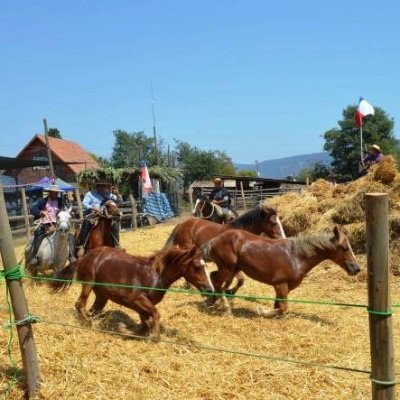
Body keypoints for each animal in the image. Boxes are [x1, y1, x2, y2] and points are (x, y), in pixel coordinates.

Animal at [50, 245, 216, 340]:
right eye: (197, 267)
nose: (210, 289)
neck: (154, 275)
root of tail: (84, 256)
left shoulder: (142, 307)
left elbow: (144, 325)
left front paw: (123, 329)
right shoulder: (136, 300)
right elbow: (155, 315)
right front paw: (155, 337)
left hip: (102, 295)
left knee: (93, 310)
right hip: (88, 284)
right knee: (79, 304)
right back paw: (88, 323)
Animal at [202, 225, 360, 316]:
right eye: (345, 248)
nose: (357, 269)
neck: (296, 256)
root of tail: (213, 241)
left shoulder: (285, 287)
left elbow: (279, 305)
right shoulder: (280, 284)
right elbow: (283, 308)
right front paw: (261, 311)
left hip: (233, 268)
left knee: (217, 280)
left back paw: (212, 301)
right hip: (227, 267)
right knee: (216, 280)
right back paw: (225, 309)